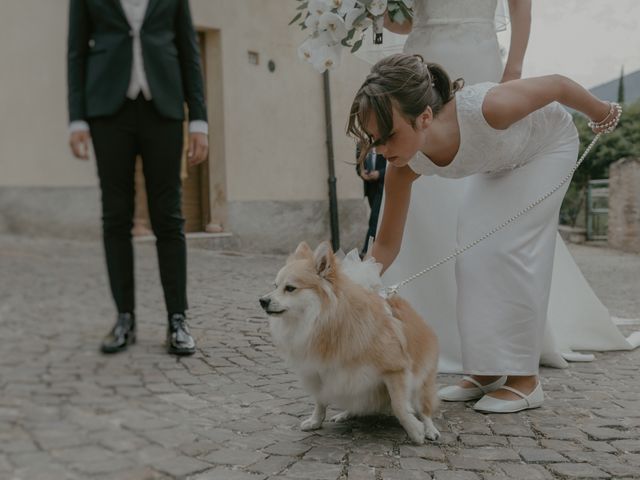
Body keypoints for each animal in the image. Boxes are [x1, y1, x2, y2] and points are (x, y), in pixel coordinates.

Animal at [260, 242, 440, 444]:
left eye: (290, 288)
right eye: (275, 286)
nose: (262, 301)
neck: (325, 320)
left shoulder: (395, 370)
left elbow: (399, 405)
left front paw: (415, 431)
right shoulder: (319, 372)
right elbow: (320, 400)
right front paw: (315, 421)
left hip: (420, 386)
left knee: (424, 410)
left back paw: (430, 429)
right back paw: (346, 414)